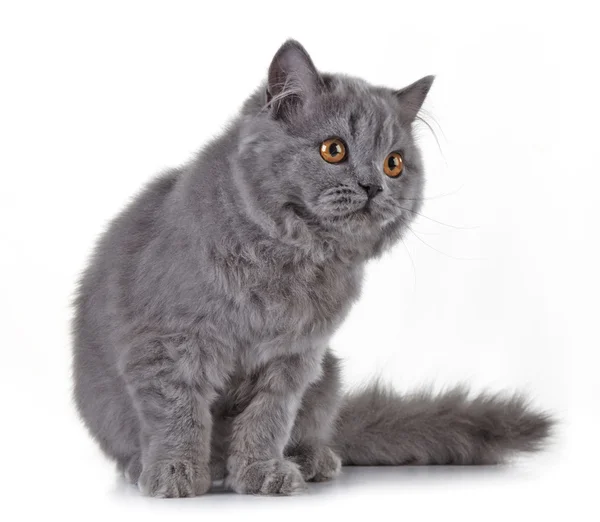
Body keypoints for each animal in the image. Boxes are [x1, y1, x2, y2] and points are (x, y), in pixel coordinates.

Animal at [71, 39, 552, 496]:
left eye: (394, 163)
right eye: (333, 150)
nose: (373, 186)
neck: (291, 258)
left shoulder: (294, 359)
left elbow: (267, 420)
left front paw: (260, 471)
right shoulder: (170, 345)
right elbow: (178, 414)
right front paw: (175, 472)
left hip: (328, 377)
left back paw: (309, 460)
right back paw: (149, 466)